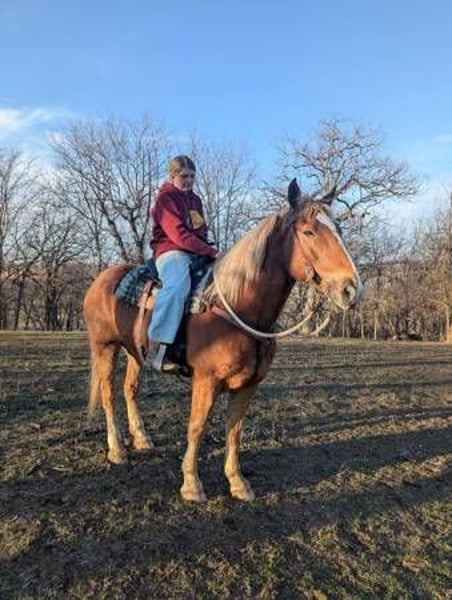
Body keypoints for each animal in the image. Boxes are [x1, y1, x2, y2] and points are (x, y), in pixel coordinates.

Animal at [83, 179, 363, 502]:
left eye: (338, 228)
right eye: (309, 231)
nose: (352, 289)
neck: (236, 307)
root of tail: (101, 279)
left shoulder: (248, 385)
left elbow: (234, 430)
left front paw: (238, 482)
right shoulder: (206, 380)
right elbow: (197, 427)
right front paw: (192, 485)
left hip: (134, 352)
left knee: (130, 389)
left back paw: (141, 438)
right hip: (104, 348)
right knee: (108, 394)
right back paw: (117, 450)